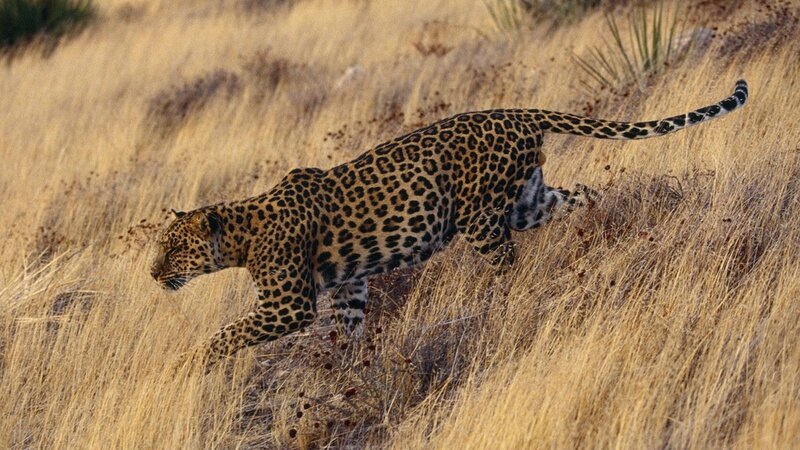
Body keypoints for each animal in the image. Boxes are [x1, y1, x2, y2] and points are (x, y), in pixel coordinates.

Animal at [151, 80, 748, 369]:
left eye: (173, 250)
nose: (154, 274)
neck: (241, 234)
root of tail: (517, 112)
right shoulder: (348, 286)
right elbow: (347, 329)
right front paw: (343, 369)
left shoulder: (288, 305)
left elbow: (228, 333)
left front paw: (192, 364)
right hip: (528, 200)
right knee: (583, 196)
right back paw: (608, 233)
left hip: (480, 219)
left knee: (508, 265)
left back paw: (503, 306)